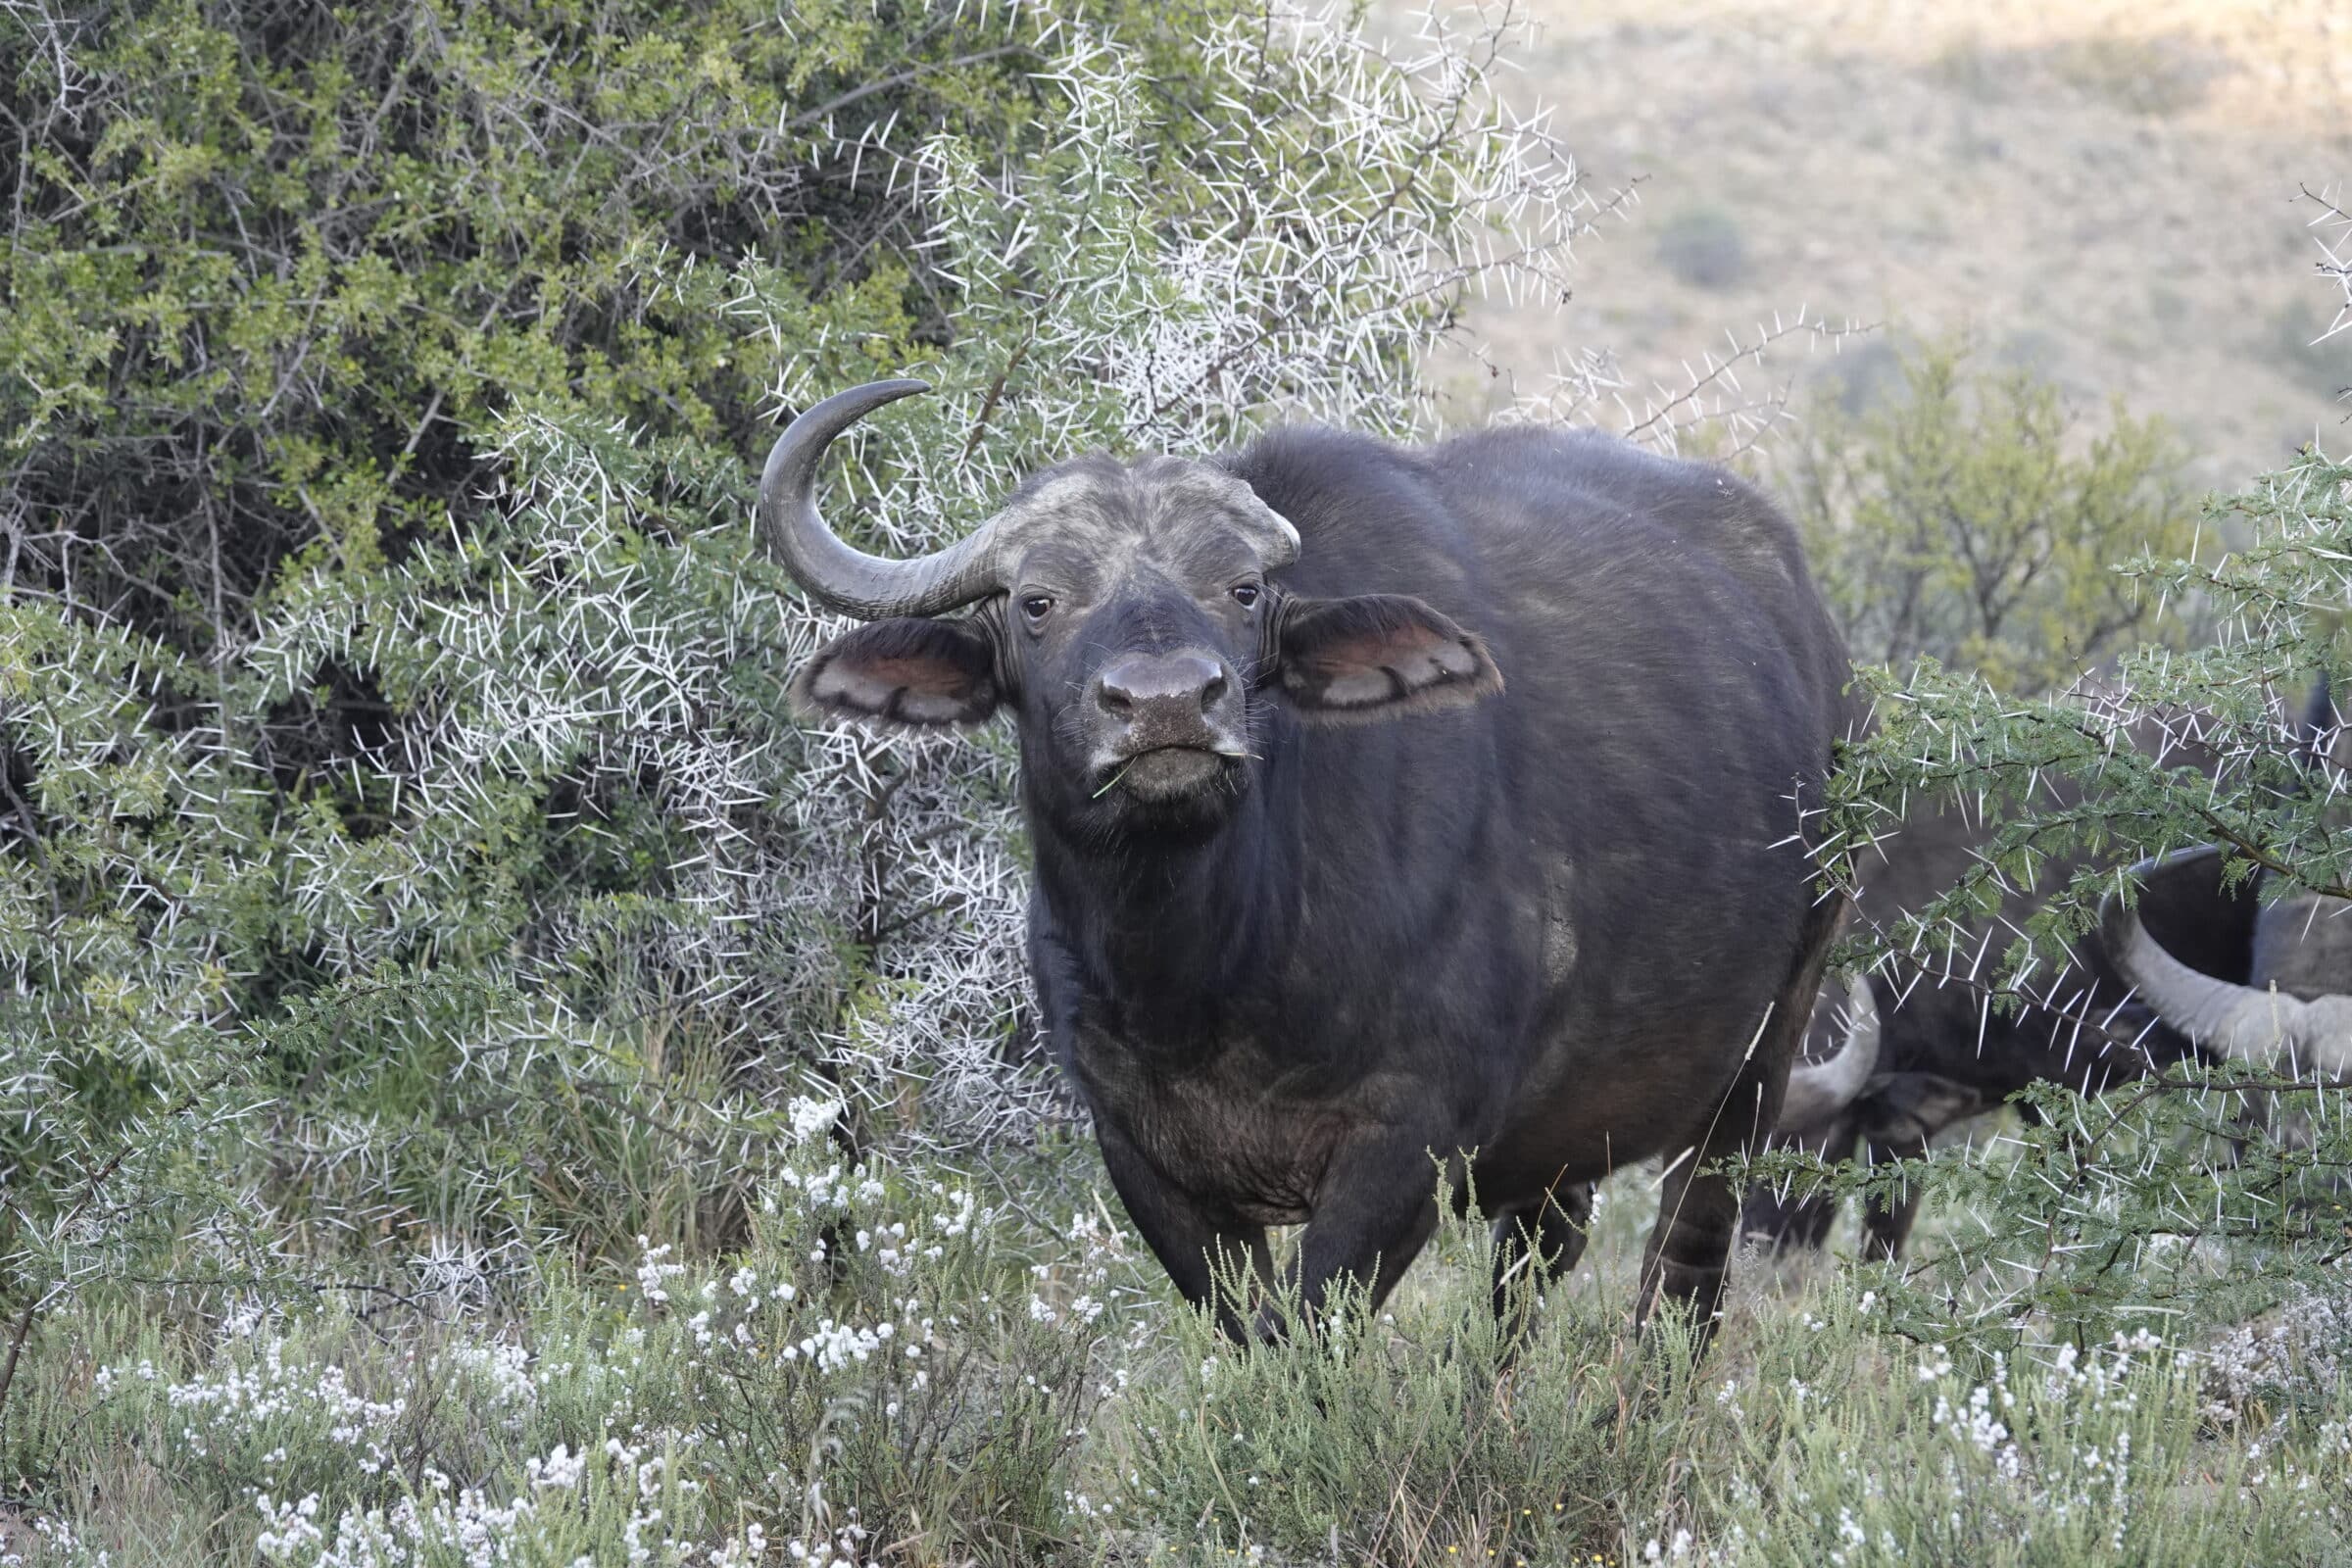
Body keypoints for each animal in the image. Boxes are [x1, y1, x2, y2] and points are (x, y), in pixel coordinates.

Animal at [766, 380, 1853, 1335]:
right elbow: (1254, 1337)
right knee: (1533, 1268)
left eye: (1244, 591)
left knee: (1683, 1273)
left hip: (1762, 1061)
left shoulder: (1405, 1150)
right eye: (1037, 601)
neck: (1211, 970)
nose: (1167, 704)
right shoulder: (1145, 1158)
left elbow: (1311, 1339)